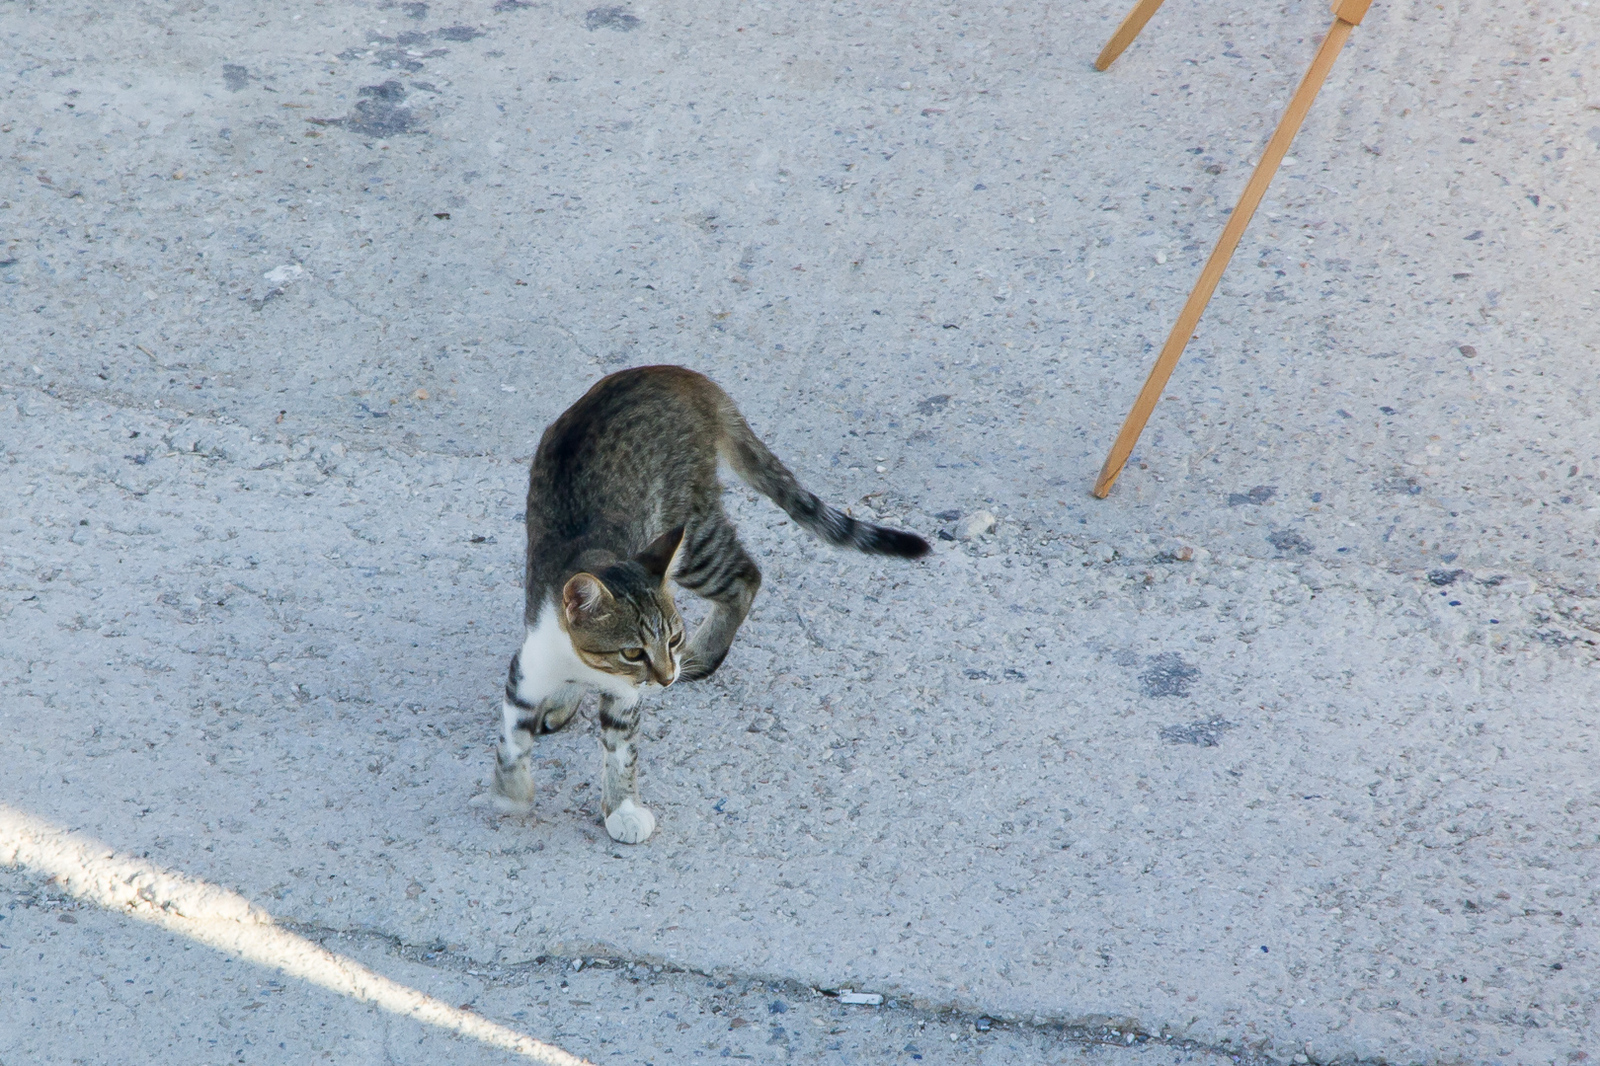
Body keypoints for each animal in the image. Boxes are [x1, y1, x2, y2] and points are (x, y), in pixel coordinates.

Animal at [492, 363, 934, 838]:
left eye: (673, 639)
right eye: (632, 651)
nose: (666, 677)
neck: (590, 666)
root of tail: (675, 373)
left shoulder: (627, 696)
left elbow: (622, 752)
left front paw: (622, 808)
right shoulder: (528, 667)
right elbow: (513, 742)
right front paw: (513, 792)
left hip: (693, 534)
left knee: (745, 576)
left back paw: (704, 654)